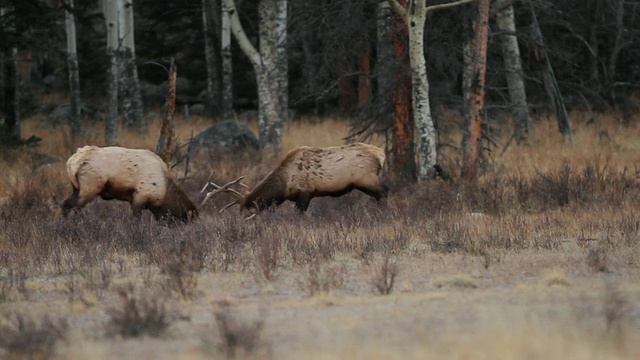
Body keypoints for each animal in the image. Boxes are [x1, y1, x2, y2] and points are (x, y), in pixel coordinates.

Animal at [202, 143, 388, 217]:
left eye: (248, 211)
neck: (284, 186)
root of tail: (381, 154)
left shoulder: (305, 192)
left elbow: (300, 213)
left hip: (367, 179)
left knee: (383, 193)